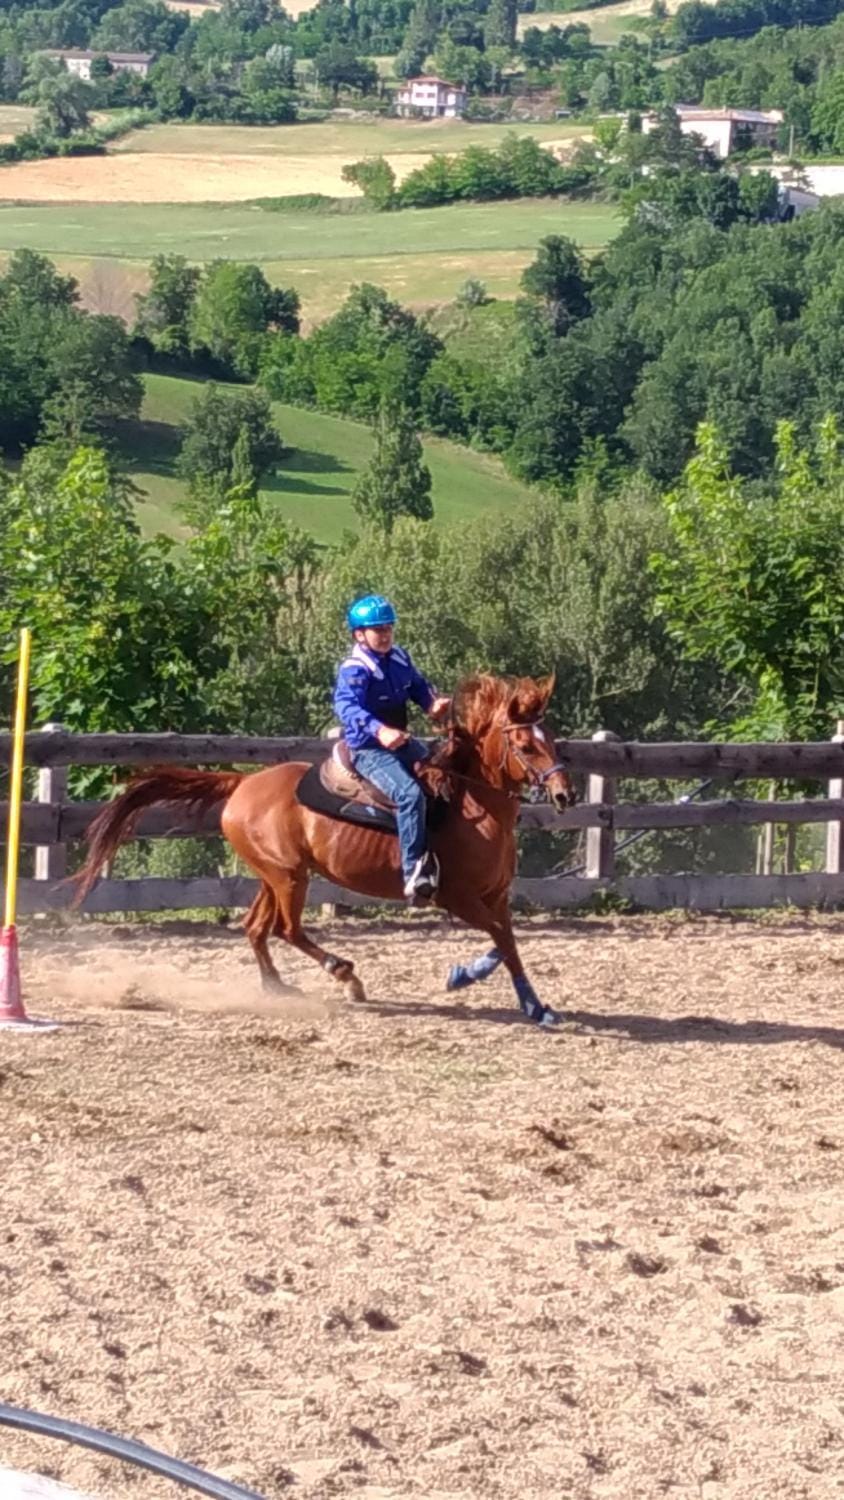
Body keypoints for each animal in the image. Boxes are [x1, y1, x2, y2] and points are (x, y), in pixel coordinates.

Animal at [72, 672, 575, 1027]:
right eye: (526, 744)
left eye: (551, 739)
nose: (565, 794)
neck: (467, 804)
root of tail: (242, 783)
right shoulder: (457, 897)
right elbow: (499, 939)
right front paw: (467, 979)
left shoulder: (496, 896)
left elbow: (507, 942)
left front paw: (534, 1005)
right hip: (290, 878)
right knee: (286, 929)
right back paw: (345, 974)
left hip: (274, 875)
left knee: (256, 927)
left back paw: (277, 987)